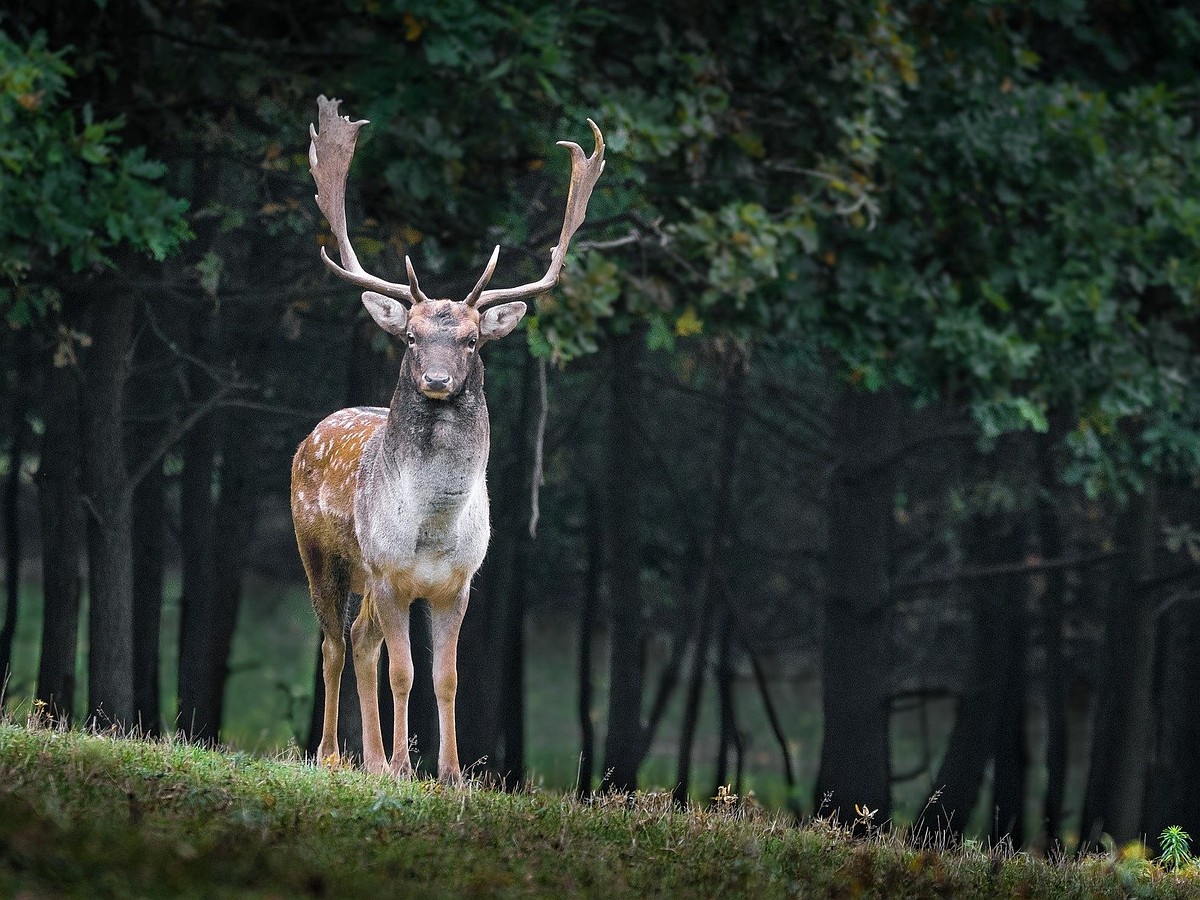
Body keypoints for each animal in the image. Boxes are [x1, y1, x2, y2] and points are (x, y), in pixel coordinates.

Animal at [289, 93, 604, 782]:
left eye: (472, 340)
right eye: (410, 336)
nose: (436, 378)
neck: (432, 530)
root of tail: (312, 434)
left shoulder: (458, 583)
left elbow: (447, 677)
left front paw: (451, 773)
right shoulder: (389, 573)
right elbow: (404, 673)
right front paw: (406, 767)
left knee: (359, 642)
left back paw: (370, 759)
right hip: (320, 554)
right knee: (333, 641)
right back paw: (333, 755)